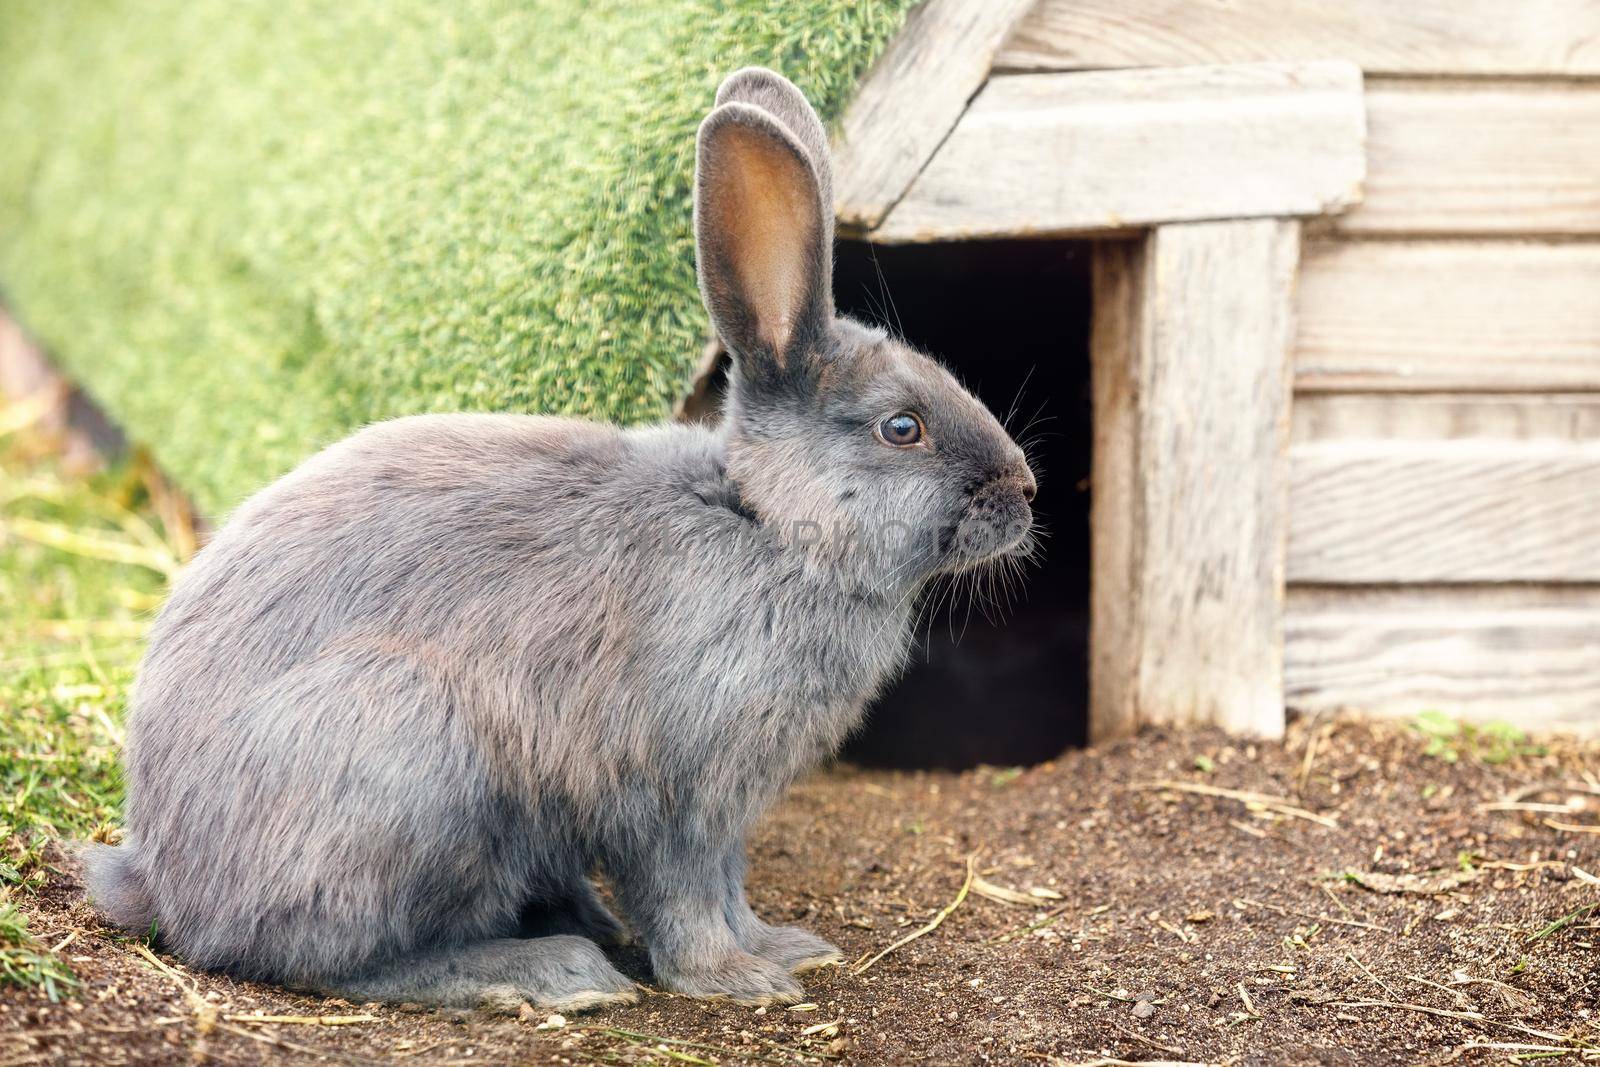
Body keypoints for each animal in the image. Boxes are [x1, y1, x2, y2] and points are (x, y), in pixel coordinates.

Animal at [84, 70, 1036, 1017]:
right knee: (327, 955)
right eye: (902, 427)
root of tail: (166, 878)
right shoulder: (672, 794)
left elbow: (731, 888)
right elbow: (686, 897)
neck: (766, 522)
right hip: (410, 753)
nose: (1023, 490)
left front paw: (783, 948)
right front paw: (737, 980)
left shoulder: (726, 809)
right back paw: (551, 970)